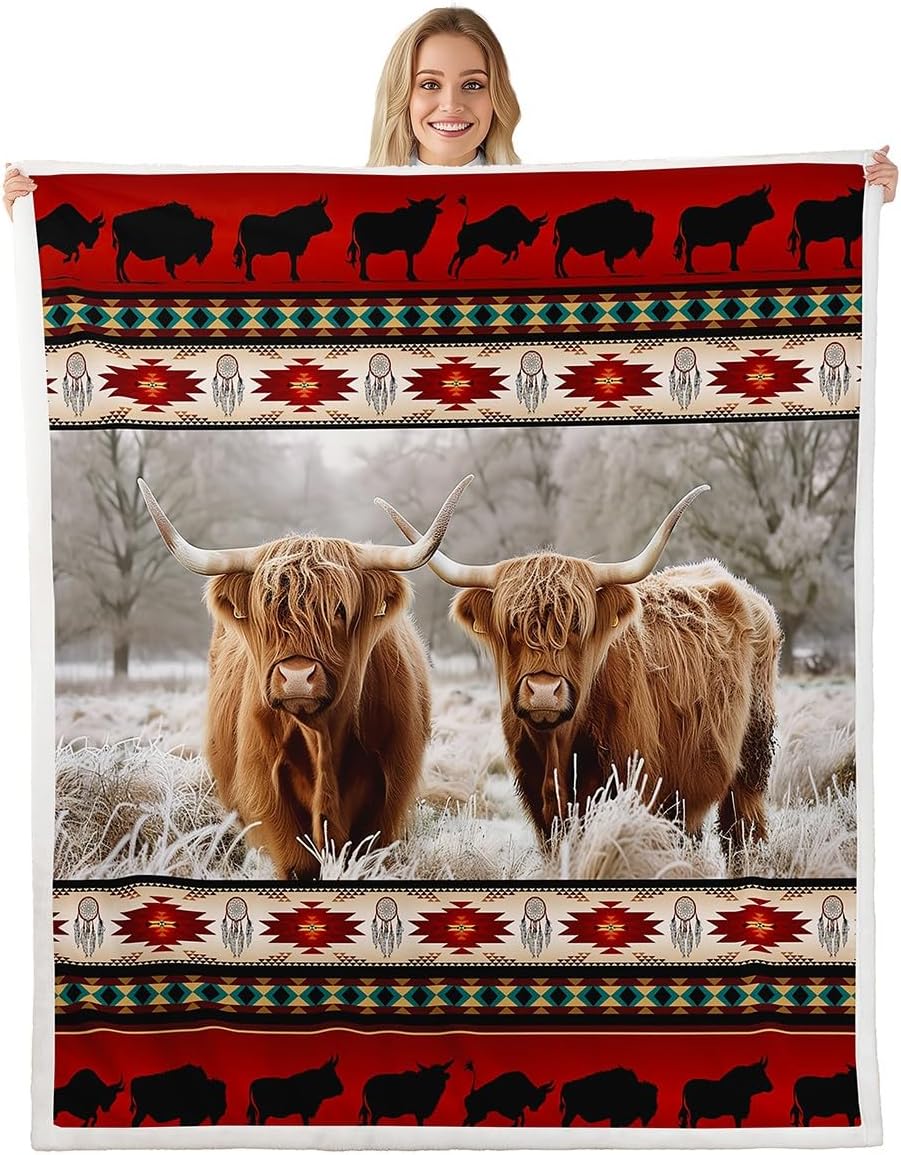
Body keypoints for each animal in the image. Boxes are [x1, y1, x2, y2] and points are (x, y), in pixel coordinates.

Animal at [139, 475, 471, 879]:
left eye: (340, 609)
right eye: (265, 608)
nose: (296, 677)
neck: (322, 737)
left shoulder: (386, 799)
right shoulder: (268, 796)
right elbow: (299, 863)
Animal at [377, 484, 782, 859]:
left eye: (576, 624)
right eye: (512, 625)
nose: (543, 691)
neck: (558, 747)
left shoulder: (637, 790)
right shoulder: (541, 807)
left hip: (751, 760)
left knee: (743, 831)